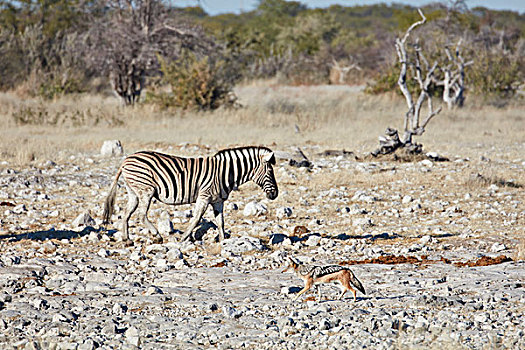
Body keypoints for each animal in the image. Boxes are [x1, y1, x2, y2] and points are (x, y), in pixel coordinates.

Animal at [104, 145, 280, 243]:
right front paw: (183, 238)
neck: (226, 173)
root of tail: (126, 160)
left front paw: (224, 241)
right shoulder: (205, 195)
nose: (275, 195)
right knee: (141, 215)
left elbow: (220, 222)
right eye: (270, 171)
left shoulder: (218, 201)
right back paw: (157, 236)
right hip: (146, 190)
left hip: (133, 191)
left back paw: (127, 240)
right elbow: (196, 218)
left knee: (126, 213)